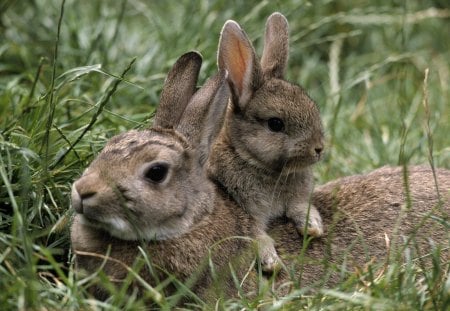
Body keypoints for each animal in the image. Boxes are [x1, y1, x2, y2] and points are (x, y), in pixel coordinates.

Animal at [206, 11, 326, 272]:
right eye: (275, 124)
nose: (319, 149)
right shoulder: (244, 210)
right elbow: (255, 234)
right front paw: (271, 261)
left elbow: (300, 206)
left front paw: (313, 227)